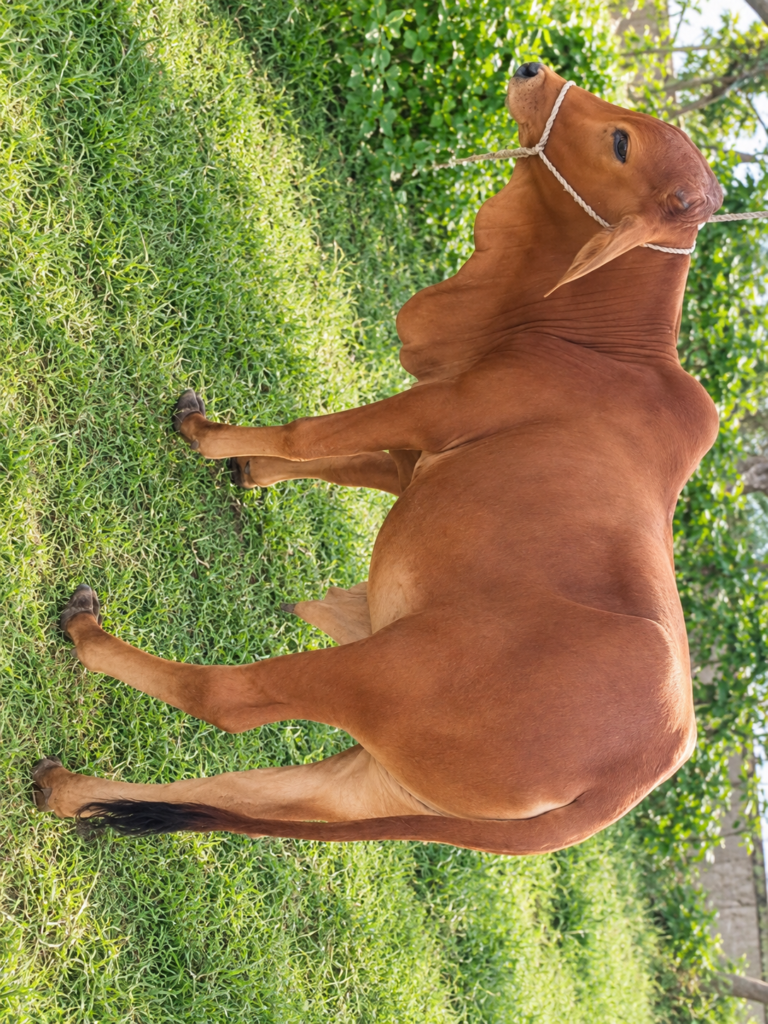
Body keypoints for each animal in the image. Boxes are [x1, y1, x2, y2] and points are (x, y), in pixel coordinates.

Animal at [33, 63, 723, 855]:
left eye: (620, 142)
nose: (532, 70)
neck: (597, 344)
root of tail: (615, 791)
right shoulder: (419, 452)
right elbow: (342, 458)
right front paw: (242, 463)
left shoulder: (436, 407)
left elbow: (308, 433)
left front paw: (207, 437)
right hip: (386, 780)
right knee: (254, 794)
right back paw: (67, 791)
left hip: (381, 670)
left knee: (230, 701)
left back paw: (88, 638)